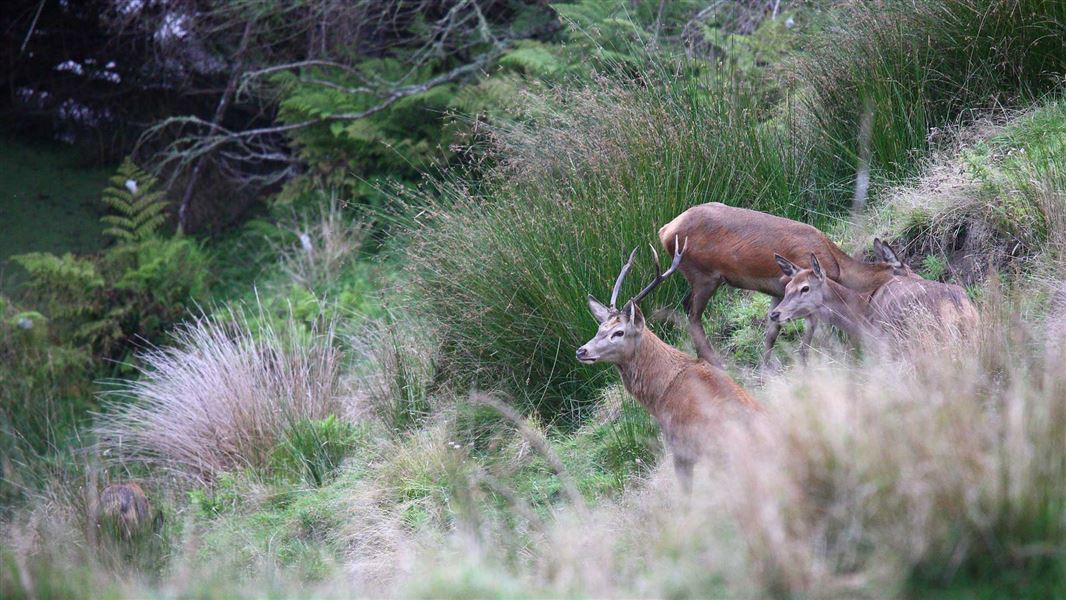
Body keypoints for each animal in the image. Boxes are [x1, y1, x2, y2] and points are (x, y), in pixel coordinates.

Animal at [658, 203, 909, 367]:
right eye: (904, 270)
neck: (837, 267)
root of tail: (665, 230)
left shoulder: (779, 292)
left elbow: (771, 331)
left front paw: (765, 369)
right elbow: (811, 332)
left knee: (686, 307)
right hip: (703, 275)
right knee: (692, 312)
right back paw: (714, 361)